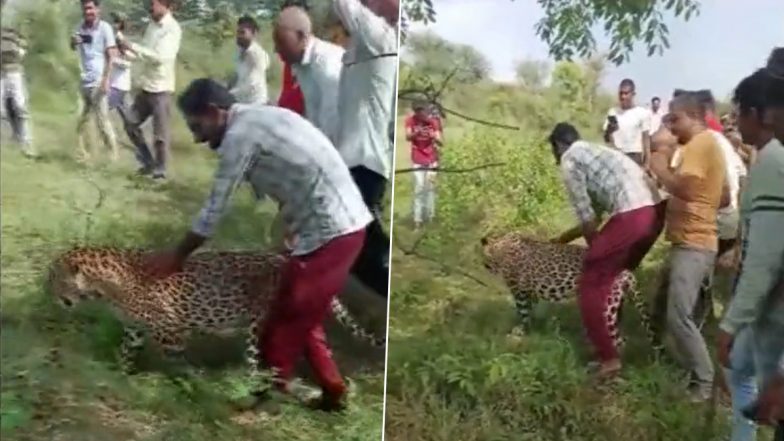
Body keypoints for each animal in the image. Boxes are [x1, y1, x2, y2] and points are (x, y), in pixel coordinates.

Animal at [46, 246, 386, 376]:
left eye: (55, 278)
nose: (50, 294)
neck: (104, 288)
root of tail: (282, 259)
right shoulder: (134, 329)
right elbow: (127, 352)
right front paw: (120, 373)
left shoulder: (171, 329)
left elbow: (179, 361)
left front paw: (192, 382)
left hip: (259, 321)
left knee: (260, 355)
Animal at [478, 232, 660, 352]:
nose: (484, 266)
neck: (501, 247)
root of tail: (625, 269)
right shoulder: (530, 289)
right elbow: (533, 308)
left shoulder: (517, 288)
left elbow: (523, 311)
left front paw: (520, 331)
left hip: (603, 305)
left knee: (619, 341)